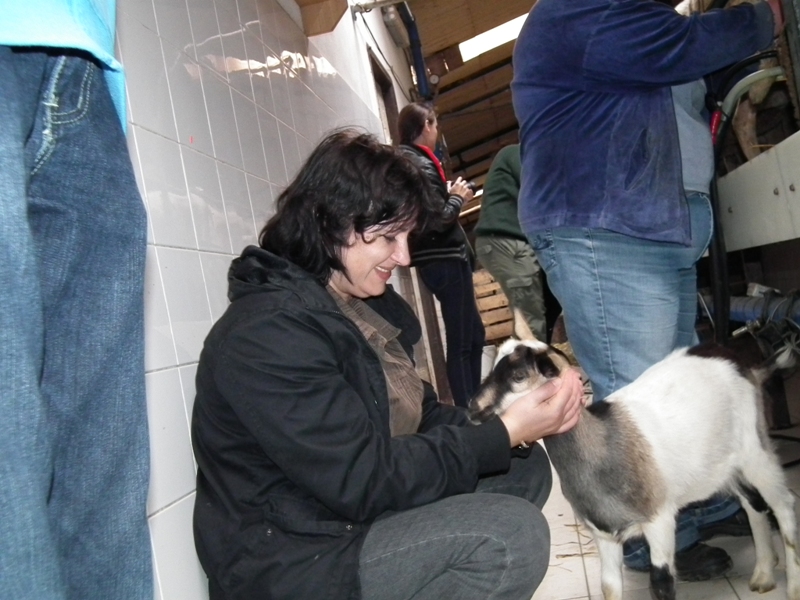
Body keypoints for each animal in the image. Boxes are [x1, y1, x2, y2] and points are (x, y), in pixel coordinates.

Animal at [469, 332, 799, 600]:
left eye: (519, 376)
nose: (472, 408)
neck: (602, 447)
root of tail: (747, 366)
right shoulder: (604, 536)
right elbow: (609, 587)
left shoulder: (660, 521)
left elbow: (662, 583)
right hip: (725, 466)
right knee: (754, 504)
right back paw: (763, 574)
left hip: (755, 449)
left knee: (783, 504)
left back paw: (792, 585)